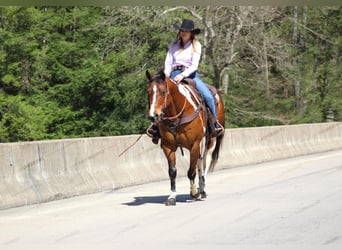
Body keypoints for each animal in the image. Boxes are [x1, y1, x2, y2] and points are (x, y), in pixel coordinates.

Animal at [146, 70, 224, 205]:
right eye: (148, 92)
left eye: (162, 91)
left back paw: (202, 189)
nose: (153, 116)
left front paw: (194, 192)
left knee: (203, 162)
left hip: (209, 140)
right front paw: (172, 196)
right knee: (200, 162)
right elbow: (172, 172)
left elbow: (191, 171)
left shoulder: (195, 144)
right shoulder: (168, 146)